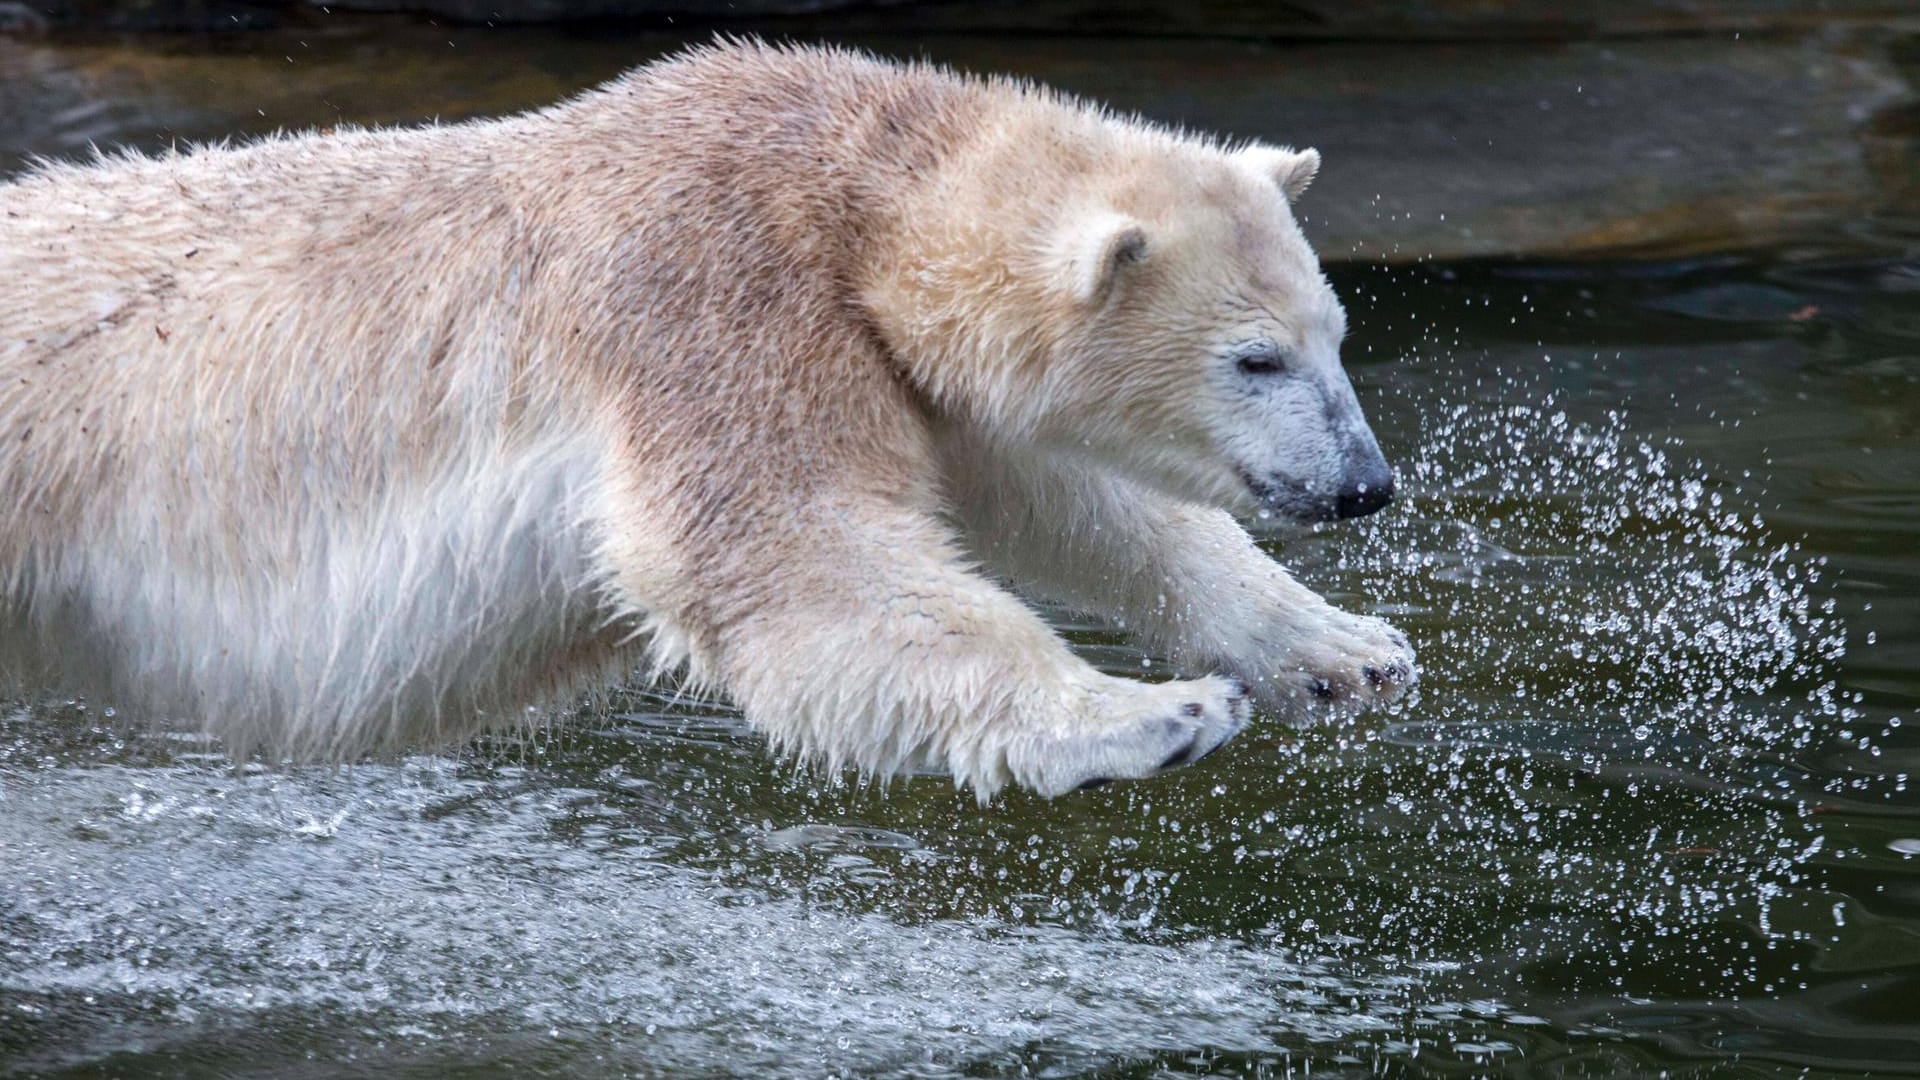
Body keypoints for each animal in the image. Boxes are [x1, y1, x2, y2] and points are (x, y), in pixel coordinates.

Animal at [0, 37, 1413, 795]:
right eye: (1255, 359)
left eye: (1334, 338)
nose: (1365, 485)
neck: (851, 190)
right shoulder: (710, 300)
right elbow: (793, 562)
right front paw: (1155, 716)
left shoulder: (902, 366)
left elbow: (1089, 505)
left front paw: (1345, 648)